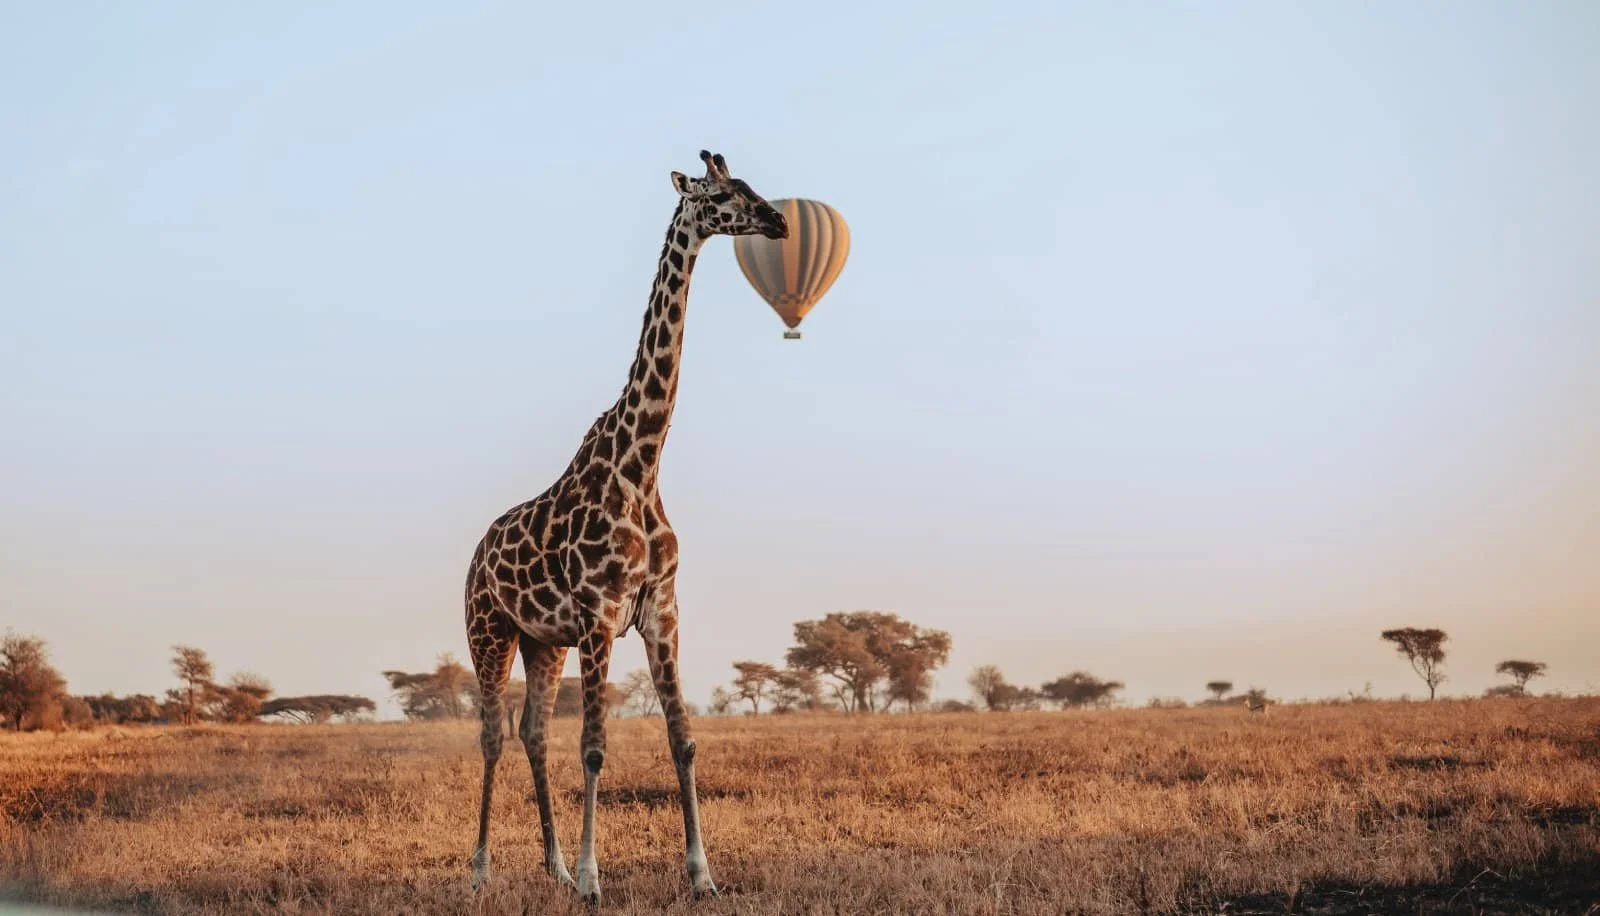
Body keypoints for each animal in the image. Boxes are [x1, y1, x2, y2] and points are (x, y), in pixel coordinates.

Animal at [462, 150, 787, 905]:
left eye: (751, 184)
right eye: (724, 193)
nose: (779, 221)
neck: (642, 463)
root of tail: (475, 555)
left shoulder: (659, 610)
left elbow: (683, 740)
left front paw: (702, 875)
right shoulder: (598, 615)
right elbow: (595, 748)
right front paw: (592, 881)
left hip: (540, 641)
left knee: (531, 733)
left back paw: (549, 866)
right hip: (489, 630)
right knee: (492, 736)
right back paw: (483, 870)